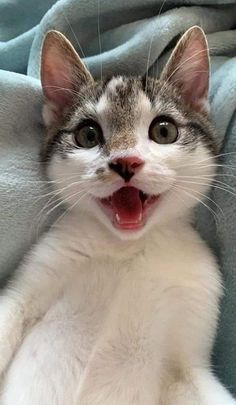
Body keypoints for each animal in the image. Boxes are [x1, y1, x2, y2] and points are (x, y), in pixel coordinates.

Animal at [0, 26, 234, 402]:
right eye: (88, 134)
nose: (126, 161)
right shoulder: (31, 284)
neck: (127, 248)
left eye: (164, 130)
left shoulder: (189, 353)